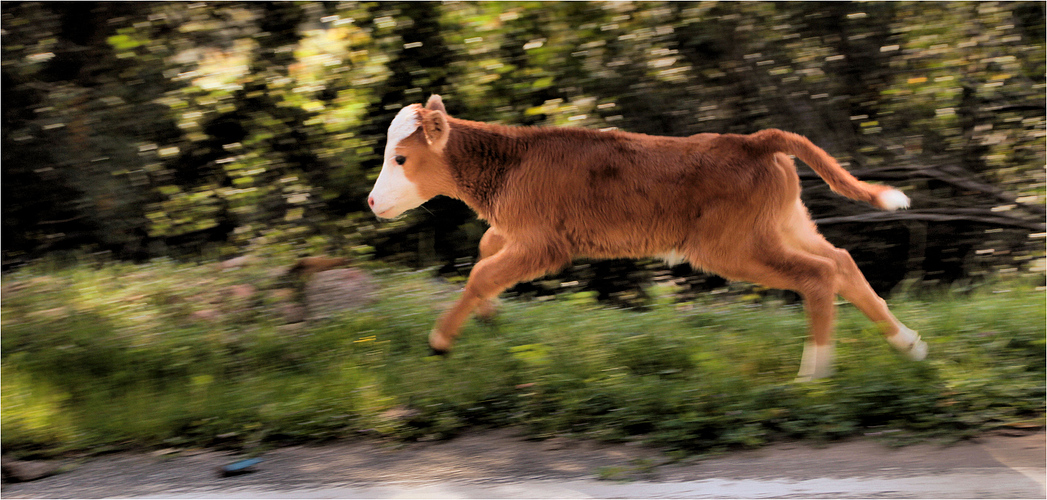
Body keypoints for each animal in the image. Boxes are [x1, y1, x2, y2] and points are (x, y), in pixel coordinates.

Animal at [368, 95, 925, 380]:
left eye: (401, 158)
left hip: (731, 246)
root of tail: (751, 140)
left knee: (818, 274)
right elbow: (485, 254)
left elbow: (483, 270)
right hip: (784, 224)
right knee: (842, 261)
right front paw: (487, 318)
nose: (372, 202)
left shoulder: (546, 244)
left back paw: (814, 374)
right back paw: (907, 344)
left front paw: (441, 340)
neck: (510, 164)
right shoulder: (521, 234)